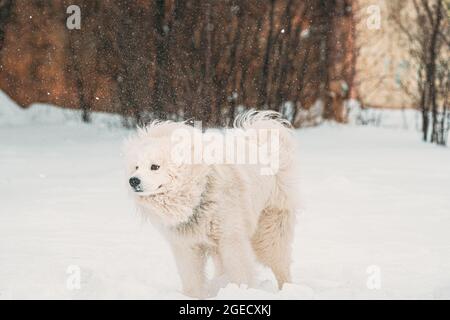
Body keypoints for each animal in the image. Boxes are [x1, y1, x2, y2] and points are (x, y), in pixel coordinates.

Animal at [125, 110, 298, 298]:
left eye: (154, 166)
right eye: (136, 167)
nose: (133, 181)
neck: (198, 194)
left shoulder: (231, 239)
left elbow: (240, 272)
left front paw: (241, 291)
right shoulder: (186, 246)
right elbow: (192, 279)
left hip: (269, 230)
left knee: (280, 262)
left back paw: (288, 289)